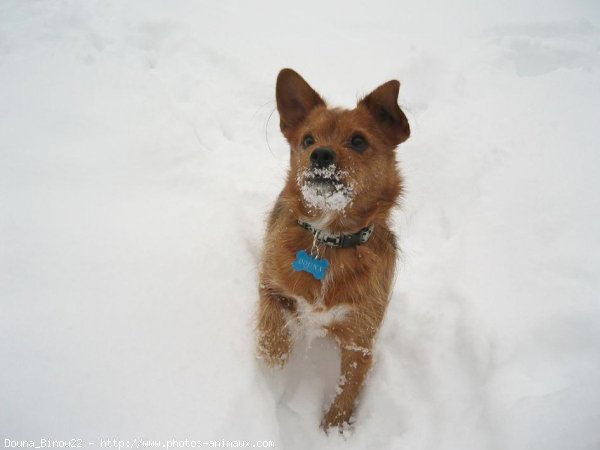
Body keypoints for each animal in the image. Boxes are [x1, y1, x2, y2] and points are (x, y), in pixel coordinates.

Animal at [255, 68, 410, 430]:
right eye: (307, 140)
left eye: (358, 141)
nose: (321, 154)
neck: (329, 239)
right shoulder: (269, 283)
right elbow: (272, 316)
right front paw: (274, 356)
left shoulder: (360, 339)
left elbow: (349, 384)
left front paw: (336, 425)